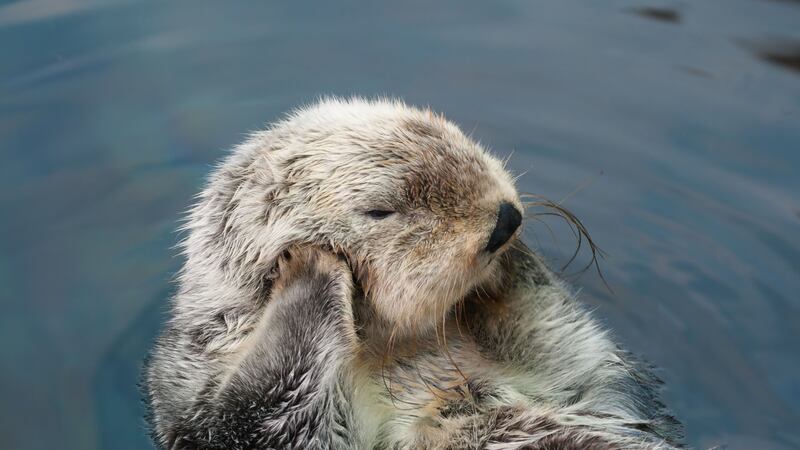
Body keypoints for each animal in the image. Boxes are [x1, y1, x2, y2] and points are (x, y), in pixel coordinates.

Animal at [144, 96, 680, 448]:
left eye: (457, 137)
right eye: (380, 211)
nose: (505, 220)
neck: (399, 353)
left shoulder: (588, 385)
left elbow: (575, 354)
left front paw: (507, 272)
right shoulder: (197, 399)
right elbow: (264, 417)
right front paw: (311, 268)